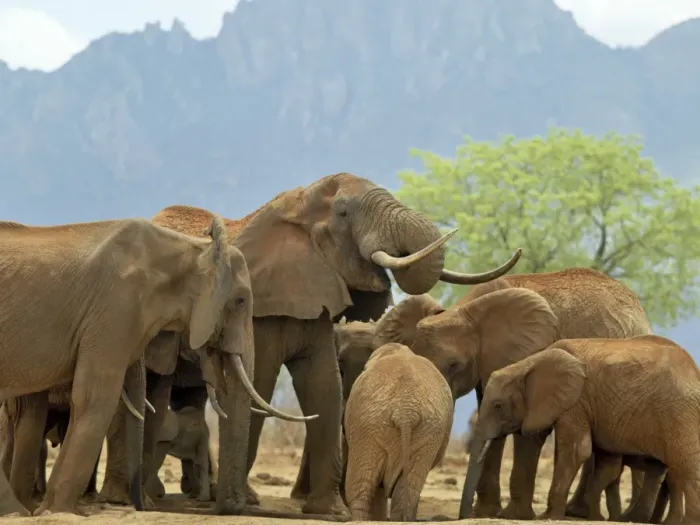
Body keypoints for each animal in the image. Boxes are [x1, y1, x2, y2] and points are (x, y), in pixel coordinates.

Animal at [0, 215, 267, 516]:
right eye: (241, 301)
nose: (226, 507)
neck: (190, 247)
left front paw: (49, 511)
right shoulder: (116, 308)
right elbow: (95, 397)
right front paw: (59, 512)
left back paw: (18, 511)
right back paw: (18, 511)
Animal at [398, 268, 653, 520]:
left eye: (454, 365)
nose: (463, 515)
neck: (467, 310)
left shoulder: (535, 350)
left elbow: (531, 430)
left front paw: (513, 515)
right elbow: (491, 424)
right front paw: (487, 512)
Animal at [464, 335, 700, 525]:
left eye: (498, 406)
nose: (466, 515)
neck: (529, 363)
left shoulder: (576, 401)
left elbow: (577, 451)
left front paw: (549, 517)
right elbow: (607, 465)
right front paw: (596, 518)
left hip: (677, 412)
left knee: (684, 464)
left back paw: (684, 522)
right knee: (666, 469)